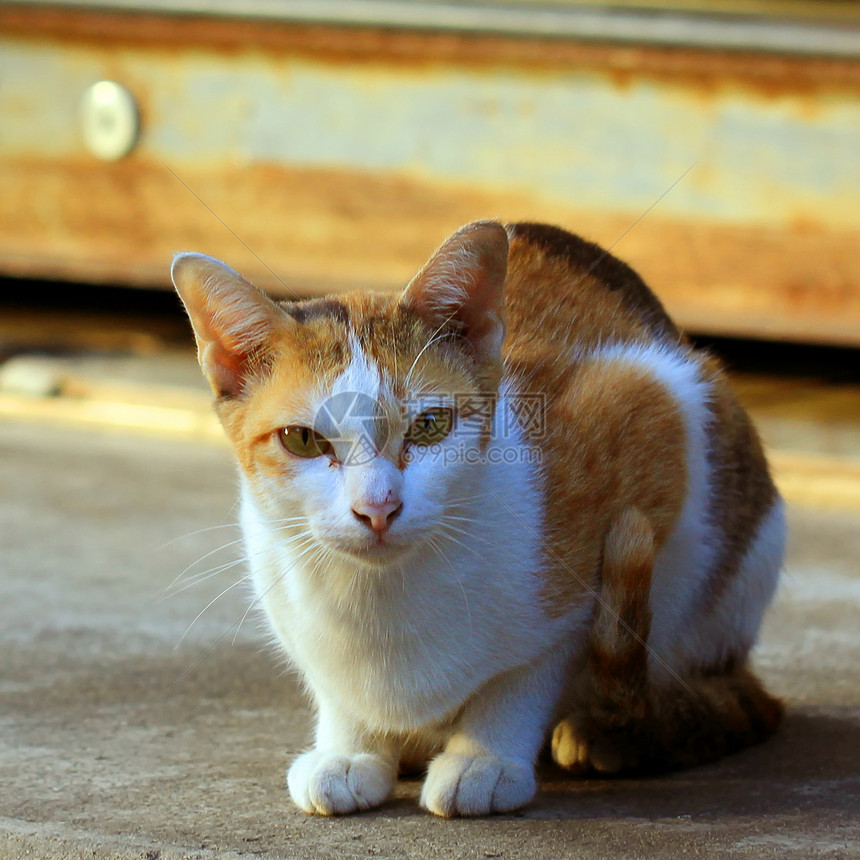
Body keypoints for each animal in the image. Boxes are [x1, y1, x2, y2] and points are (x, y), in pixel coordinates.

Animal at [171, 218, 784, 816]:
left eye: (429, 426)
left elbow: (529, 669)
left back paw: (607, 735)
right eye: (302, 439)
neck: (382, 599)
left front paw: (485, 757)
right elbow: (334, 686)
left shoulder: (653, 403)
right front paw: (350, 747)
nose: (378, 508)